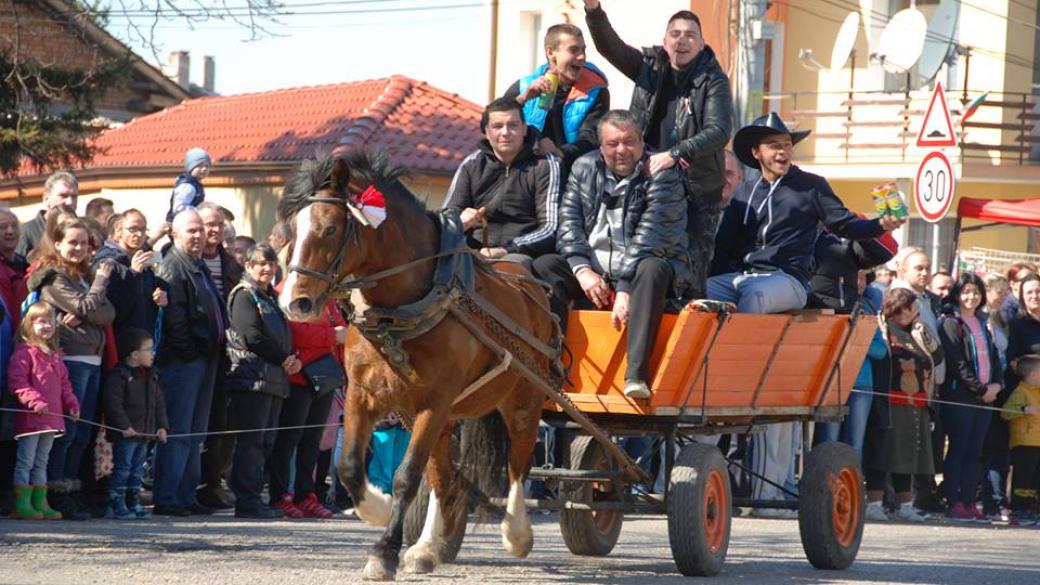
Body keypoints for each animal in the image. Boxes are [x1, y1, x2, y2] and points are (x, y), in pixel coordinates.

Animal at [274, 149, 553, 578]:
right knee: (444, 475)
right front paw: (378, 508)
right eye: (291, 228)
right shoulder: (364, 395)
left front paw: (383, 550)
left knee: (517, 464)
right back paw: (427, 546)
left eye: (331, 228)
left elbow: (406, 476)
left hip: (524, 399)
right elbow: (350, 466)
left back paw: (516, 533)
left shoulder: (434, 402)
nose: (294, 302)